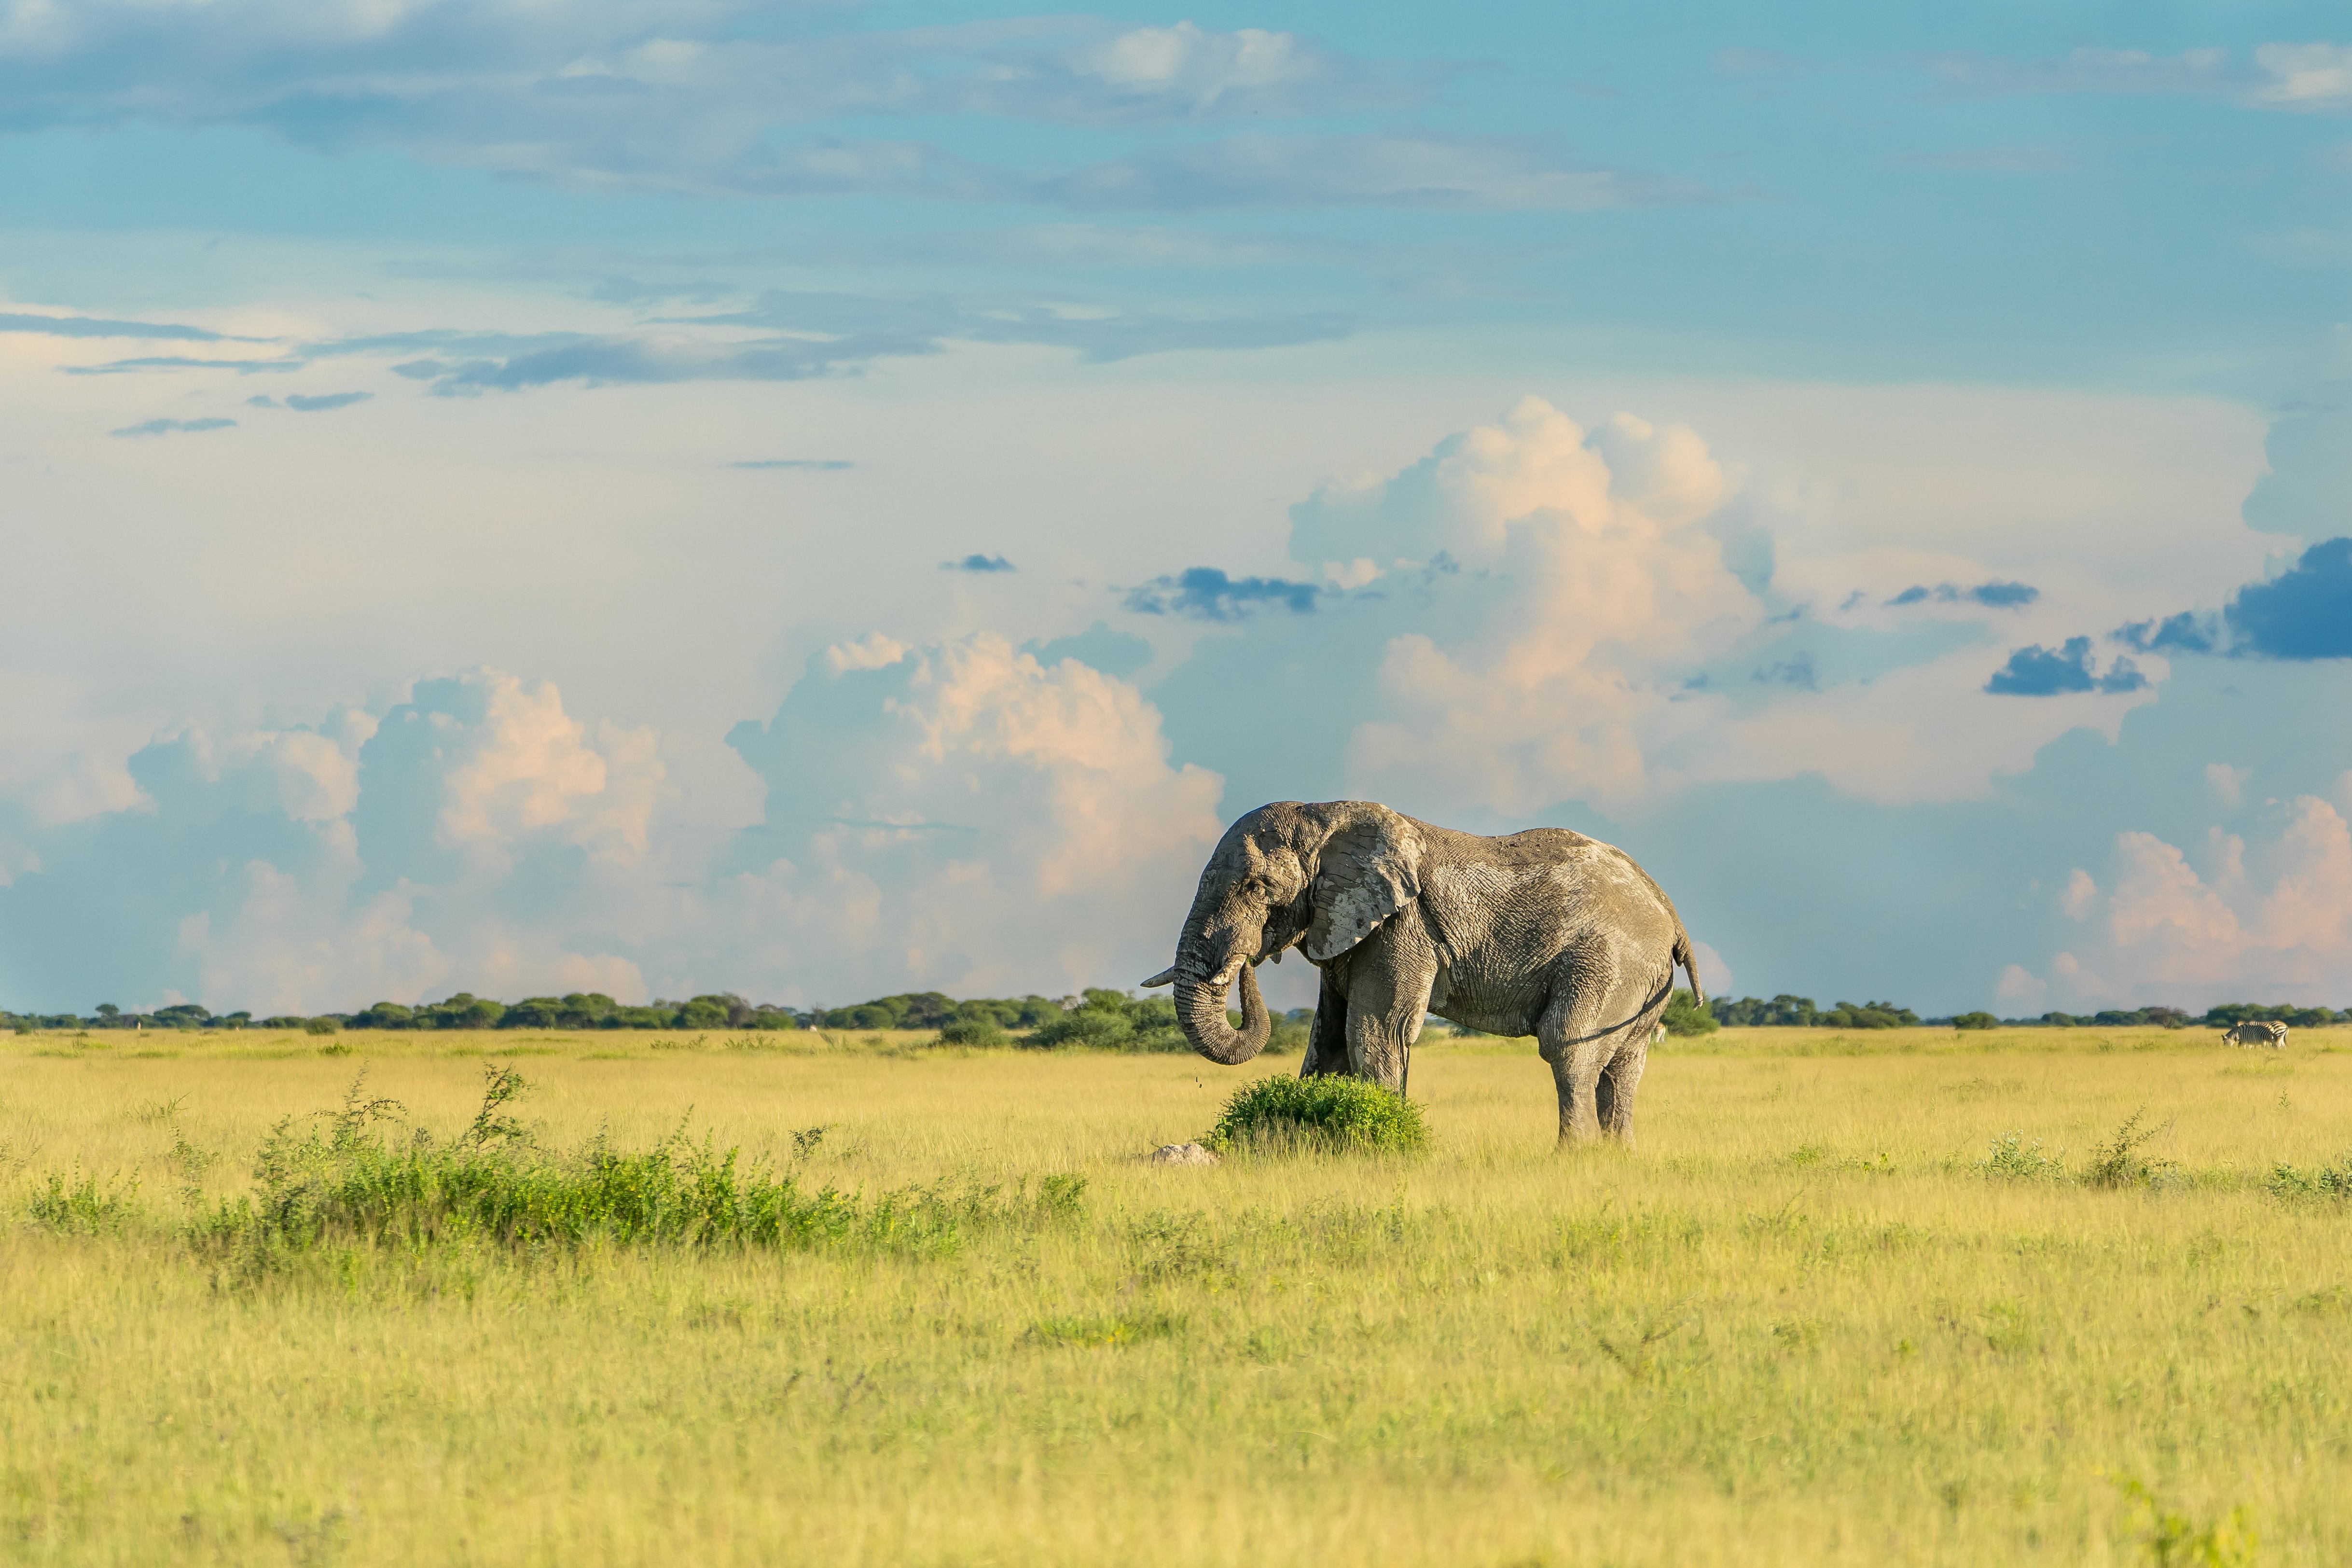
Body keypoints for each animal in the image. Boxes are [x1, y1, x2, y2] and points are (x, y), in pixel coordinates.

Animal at [1142, 800, 1703, 1147]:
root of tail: (1670, 913)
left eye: (1257, 888)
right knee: (1625, 1068)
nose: (1246, 962)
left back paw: (1573, 1157)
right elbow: (1327, 1040)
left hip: (1608, 961)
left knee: (1567, 1048)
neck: (1324, 815)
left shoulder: (1402, 926)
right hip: (1642, 980)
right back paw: (1618, 1156)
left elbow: (1374, 1032)